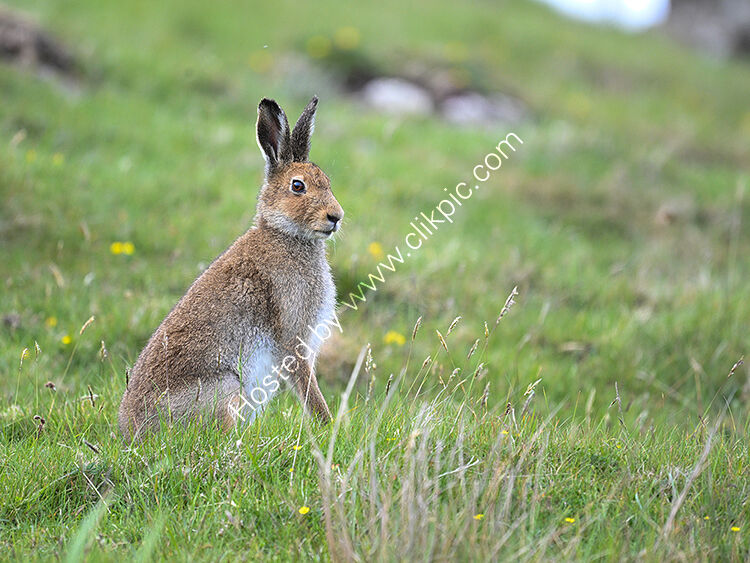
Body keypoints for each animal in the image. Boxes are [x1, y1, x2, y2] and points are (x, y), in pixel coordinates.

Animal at [118, 96, 343, 440]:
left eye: (328, 183)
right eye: (297, 186)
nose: (336, 216)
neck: (285, 234)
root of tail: (131, 432)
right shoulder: (294, 336)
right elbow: (308, 387)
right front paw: (328, 427)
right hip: (226, 386)